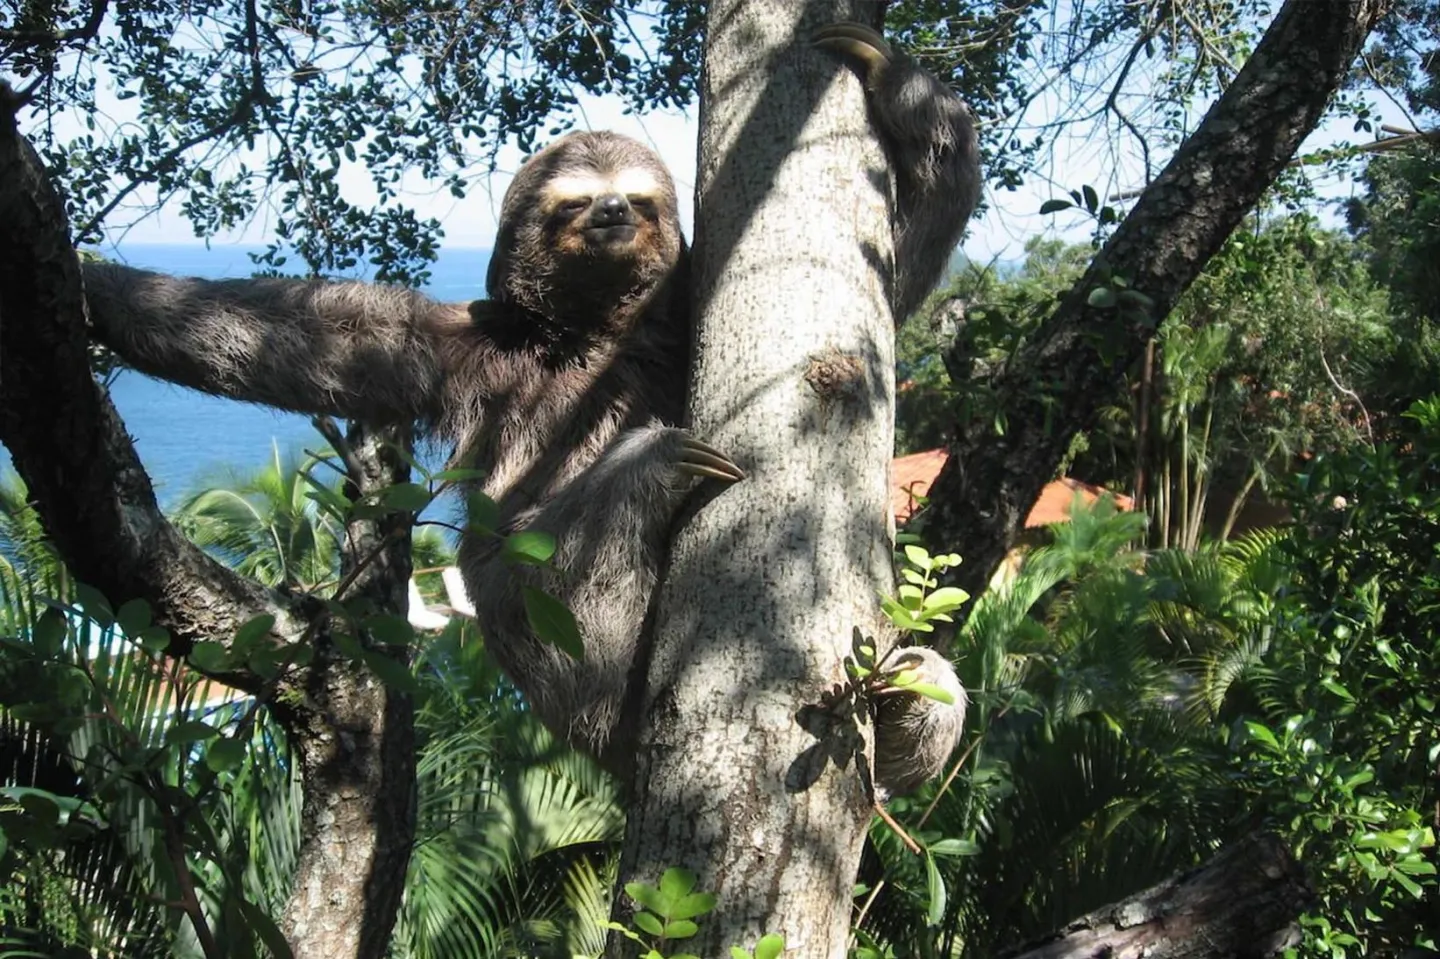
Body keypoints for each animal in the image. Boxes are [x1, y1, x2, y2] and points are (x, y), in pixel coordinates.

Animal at [75, 20, 980, 793]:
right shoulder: (466, 352)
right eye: (575, 203)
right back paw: (652, 480)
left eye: (637, 202)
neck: (594, 330)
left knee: (940, 682)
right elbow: (309, 334)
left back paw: (905, 701)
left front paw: (899, 85)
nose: (612, 213)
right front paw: (97, 287)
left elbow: (894, 282)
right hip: (550, 639)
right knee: (555, 572)